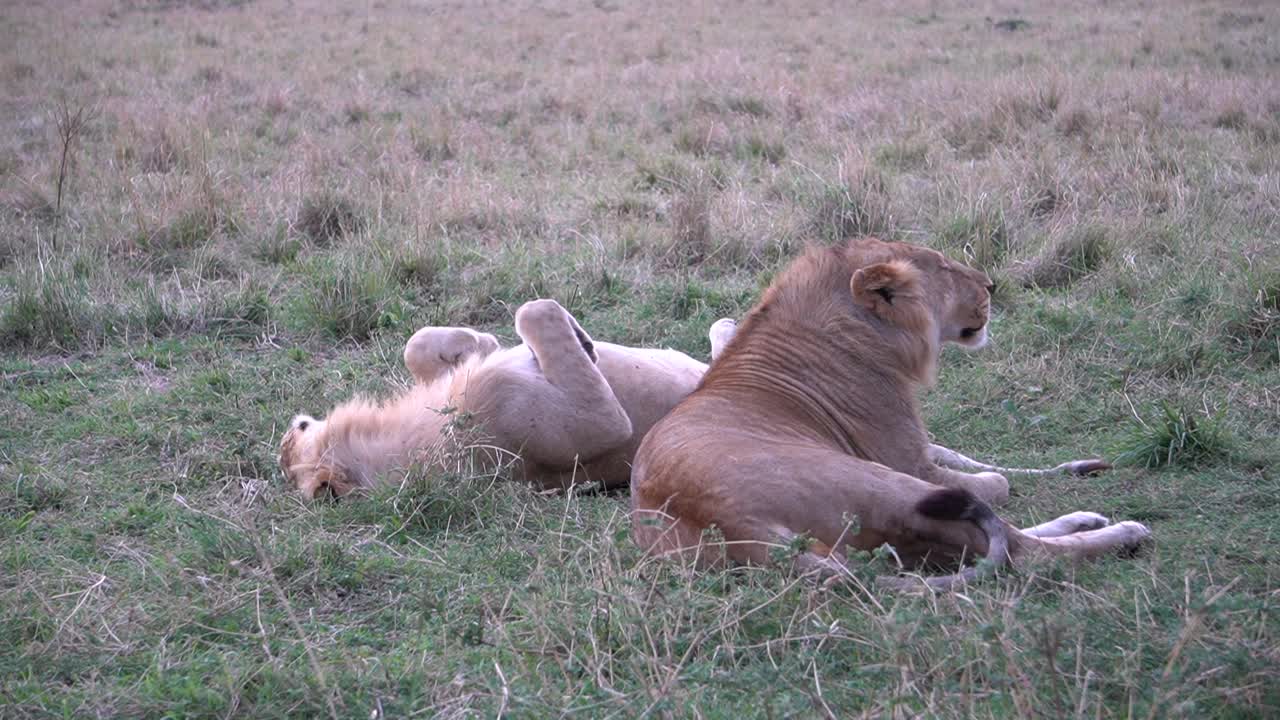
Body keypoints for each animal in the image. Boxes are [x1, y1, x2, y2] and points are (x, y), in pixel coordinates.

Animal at [629, 238, 1152, 586]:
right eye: (944, 268)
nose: (991, 284)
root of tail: (741, 531)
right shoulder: (909, 462)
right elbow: (996, 483)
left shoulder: (916, 452)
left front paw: (1078, 468)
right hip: (884, 483)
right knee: (1022, 551)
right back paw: (1125, 533)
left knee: (989, 538)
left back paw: (1084, 518)